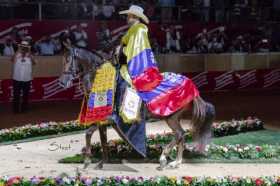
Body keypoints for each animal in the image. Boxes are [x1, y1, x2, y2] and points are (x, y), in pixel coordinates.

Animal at [59, 41, 215, 170]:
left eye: (69, 59)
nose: (62, 82)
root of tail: (192, 86)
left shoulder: (106, 118)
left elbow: (88, 134)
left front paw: (87, 161)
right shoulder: (102, 120)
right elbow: (103, 141)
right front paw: (102, 162)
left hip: (171, 117)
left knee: (179, 134)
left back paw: (164, 159)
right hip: (174, 118)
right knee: (181, 135)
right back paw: (176, 162)